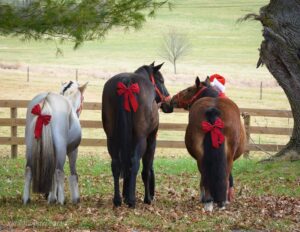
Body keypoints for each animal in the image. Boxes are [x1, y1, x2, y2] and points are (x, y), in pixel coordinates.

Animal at [101, 62, 170, 208]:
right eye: (161, 80)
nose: (169, 102)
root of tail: (126, 82)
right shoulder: (151, 139)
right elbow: (146, 169)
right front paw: (147, 198)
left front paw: (126, 194)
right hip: (141, 138)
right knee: (135, 163)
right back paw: (132, 201)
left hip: (111, 139)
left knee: (116, 164)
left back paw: (118, 199)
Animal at [170, 77, 245, 211]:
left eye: (189, 89)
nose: (173, 99)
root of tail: (213, 109)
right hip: (228, 156)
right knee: (222, 175)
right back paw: (218, 201)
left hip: (201, 155)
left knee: (205, 174)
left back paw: (209, 201)